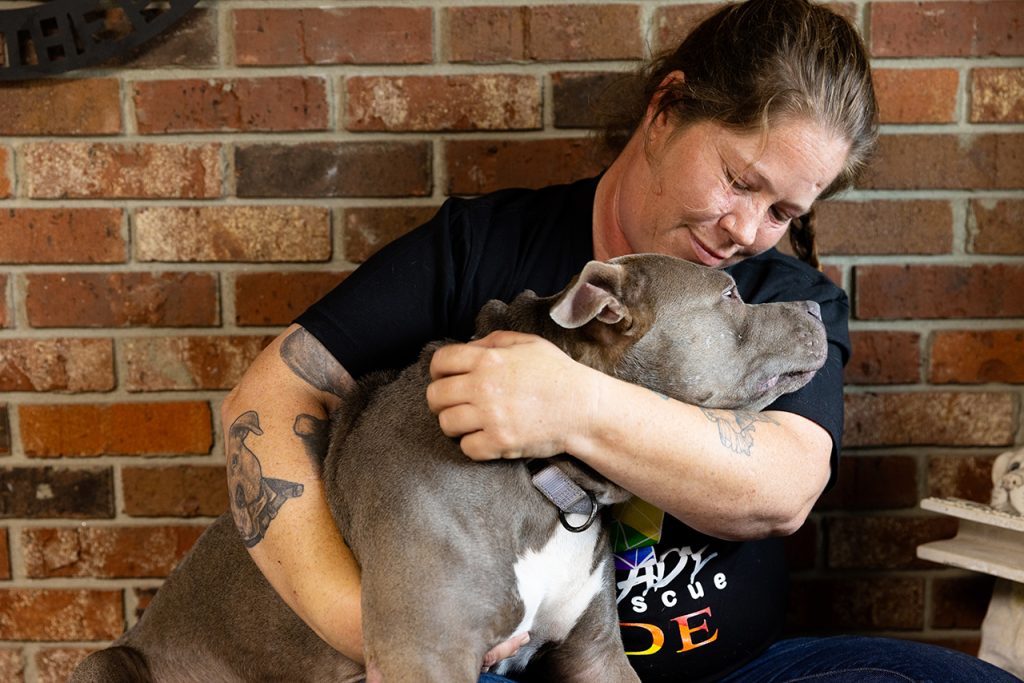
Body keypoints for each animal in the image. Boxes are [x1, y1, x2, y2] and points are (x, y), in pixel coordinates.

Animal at [72, 253, 827, 679]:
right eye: (729, 295)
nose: (819, 303)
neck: (539, 477)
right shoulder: (425, 654)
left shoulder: (594, 654)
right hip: (103, 664)